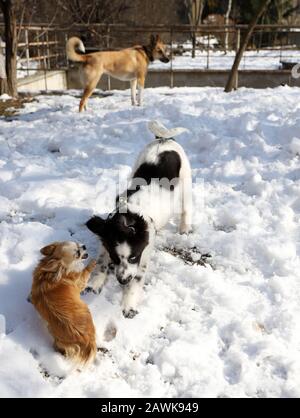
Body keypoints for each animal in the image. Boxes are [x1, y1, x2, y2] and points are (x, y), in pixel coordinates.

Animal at [85, 121, 192, 316]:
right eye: (115, 258)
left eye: (133, 257)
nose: (122, 281)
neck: (130, 217)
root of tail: (164, 139)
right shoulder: (107, 240)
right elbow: (102, 262)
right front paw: (94, 283)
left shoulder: (143, 255)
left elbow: (136, 279)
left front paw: (129, 304)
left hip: (186, 181)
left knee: (187, 207)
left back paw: (185, 228)